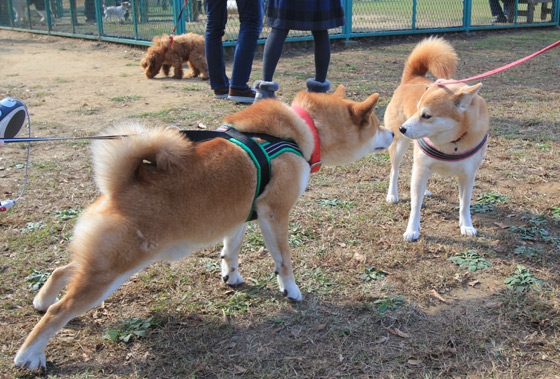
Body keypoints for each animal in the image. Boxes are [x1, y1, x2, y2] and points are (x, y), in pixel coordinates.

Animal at [14, 86, 394, 372]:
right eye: (377, 123)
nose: (393, 132)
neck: (301, 132)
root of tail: (118, 187)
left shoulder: (240, 215)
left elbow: (231, 250)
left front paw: (232, 275)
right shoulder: (275, 214)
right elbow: (283, 260)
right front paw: (291, 289)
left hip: (104, 264)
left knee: (63, 270)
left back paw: (41, 299)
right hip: (112, 272)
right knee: (60, 311)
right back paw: (29, 354)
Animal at [384, 37, 490, 242]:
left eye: (426, 115)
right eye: (417, 109)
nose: (403, 128)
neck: (451, 142)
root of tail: (412, 78)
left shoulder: (468, 175)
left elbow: (465, 203)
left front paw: (466, 225)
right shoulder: (421, 166)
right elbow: (415, 206)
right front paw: (412, 230)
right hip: (399, 147)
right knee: (395, 171)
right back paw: (392, 194)